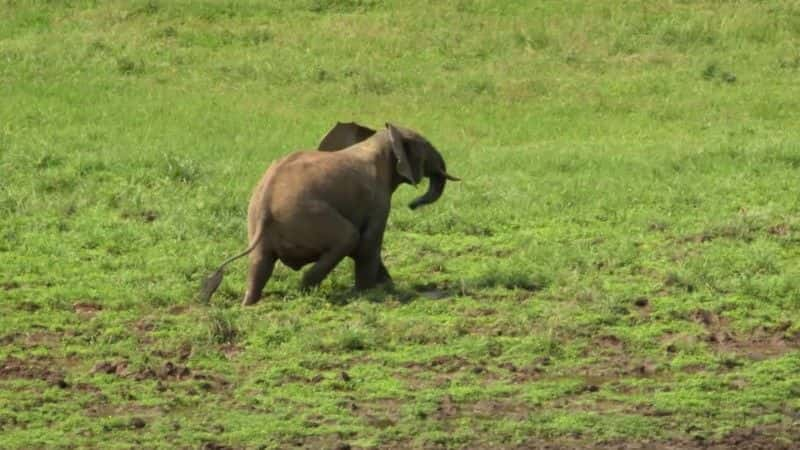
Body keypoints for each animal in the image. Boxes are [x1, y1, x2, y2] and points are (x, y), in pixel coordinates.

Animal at [200, 122, 460, 306]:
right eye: (426, 146)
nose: (412, 205)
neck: (379, 138)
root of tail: (264, 206)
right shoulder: (378, 200)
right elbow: (368, 242)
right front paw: (369, 292)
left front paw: (388, 286)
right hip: (306, 217)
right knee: (349, 237)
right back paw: (303, 290)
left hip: (258, 224)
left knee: (259, 264)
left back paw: (249, 303)